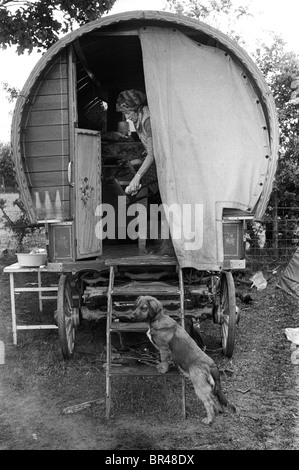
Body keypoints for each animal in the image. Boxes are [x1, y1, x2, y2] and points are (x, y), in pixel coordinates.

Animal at [131, 296, 237, 424]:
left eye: (143, 308)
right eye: (136, 306)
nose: (131, 317)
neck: (158, 320)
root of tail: (211, 365)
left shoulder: (164, 348)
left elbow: (164, 360)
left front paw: (162, 369)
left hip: (199, 386)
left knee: (209, 403)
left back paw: (209, 419)